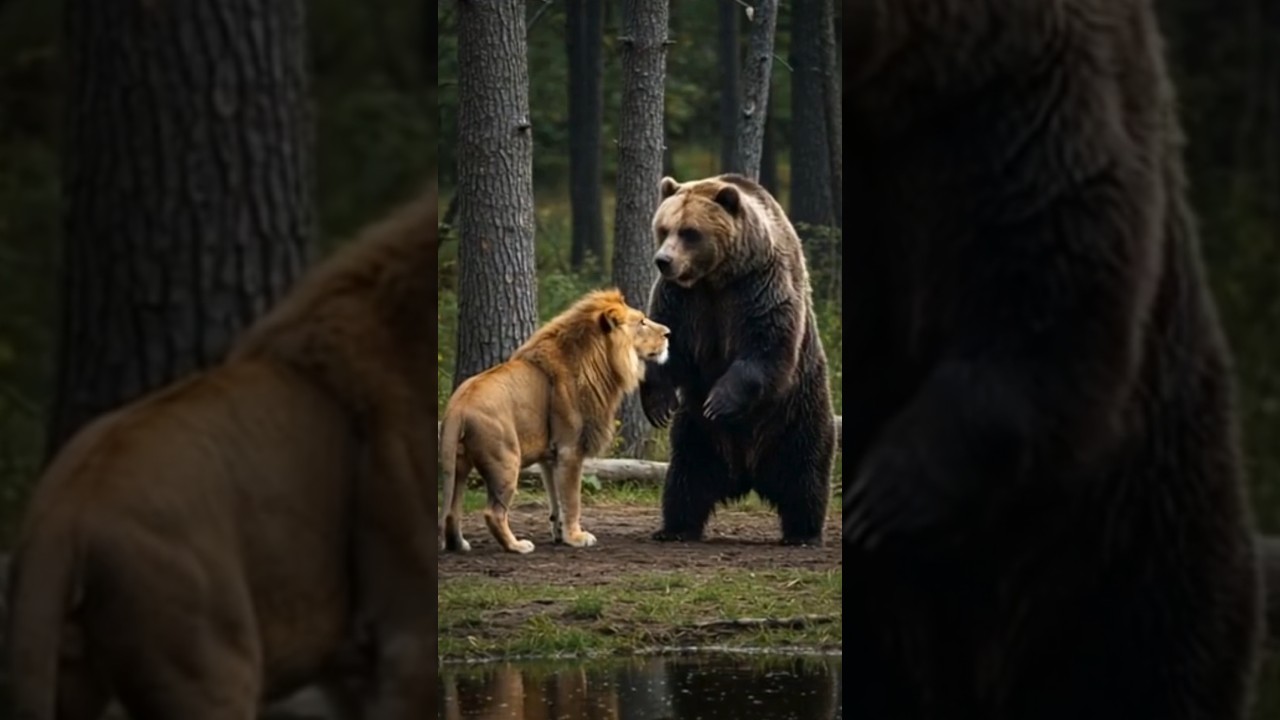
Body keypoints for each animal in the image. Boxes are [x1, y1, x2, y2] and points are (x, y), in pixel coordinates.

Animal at [639, 173, 835, 546]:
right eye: (663, 227)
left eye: (689, 232)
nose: (662, 261)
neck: (716, 277)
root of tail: (747, 473)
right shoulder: (684, 299)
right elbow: (667, 343)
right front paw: (658, 405)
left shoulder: (759, 286)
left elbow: (765, 346)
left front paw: (719, 400)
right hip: (698, 433)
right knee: (687, 475)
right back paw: (675, 528)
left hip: (797, 410)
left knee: (805, 471)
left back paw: (802, 532)